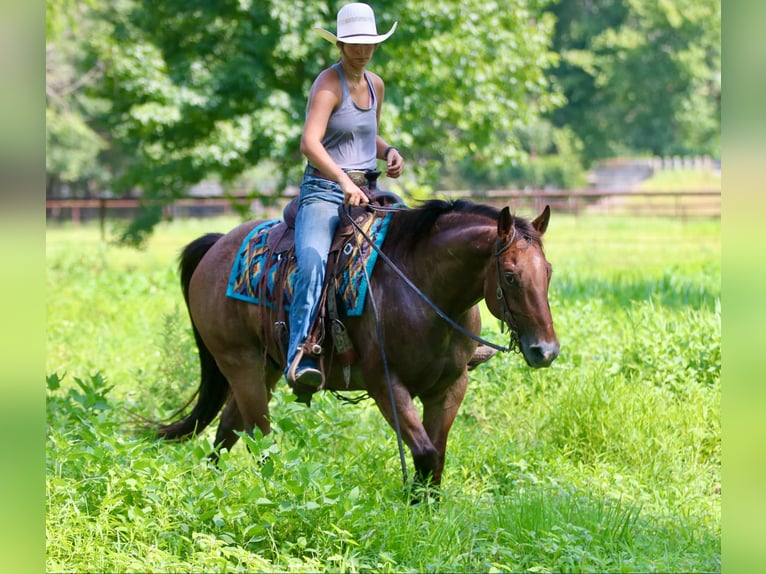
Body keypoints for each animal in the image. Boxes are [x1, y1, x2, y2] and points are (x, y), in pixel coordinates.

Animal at [155, 199, 559, 489]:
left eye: (549, 271)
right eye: (510, 276)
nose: (546, 351)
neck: (422, 287)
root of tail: (217, 246)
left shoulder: (449, 387)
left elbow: (437, 459)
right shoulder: (386, 385)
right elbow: (425, 454)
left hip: (265, 368)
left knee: (229, 430)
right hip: (241, 365)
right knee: (260, 437)